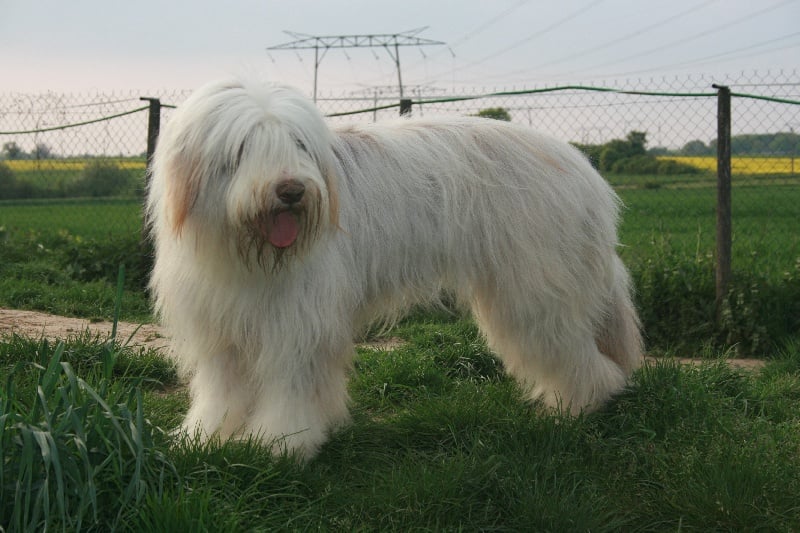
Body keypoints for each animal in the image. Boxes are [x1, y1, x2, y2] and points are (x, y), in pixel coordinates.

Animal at [147, 78, 640, 458]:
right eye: (244, 146)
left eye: (299, 144)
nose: (292, 191)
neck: (248, 252)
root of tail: (584, 168)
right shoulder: (221, 329)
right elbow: (222, 389)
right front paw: (208, 438)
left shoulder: (298, 324)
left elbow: (290, 384)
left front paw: (283, 443)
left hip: (536, 288)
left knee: (572, 352)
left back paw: (579, 407)